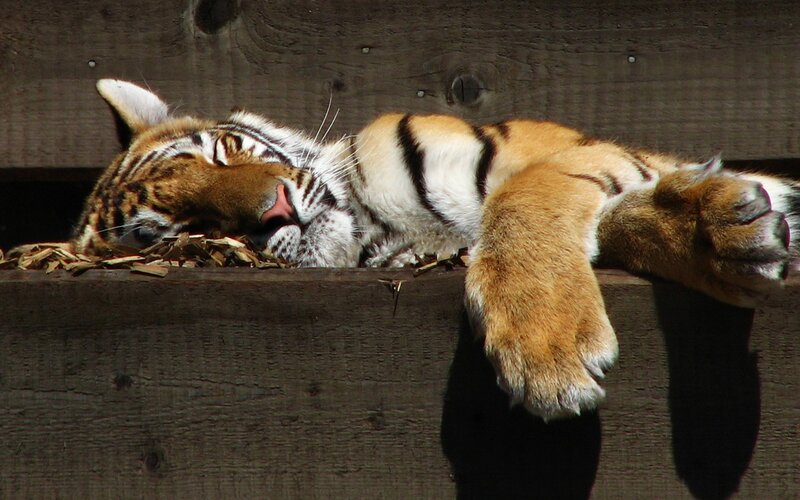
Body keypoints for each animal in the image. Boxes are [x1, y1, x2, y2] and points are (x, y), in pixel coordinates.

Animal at [74, 79, 800, 421]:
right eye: (187, 225)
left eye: (224, 151)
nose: (275, 208)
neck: (378, 225)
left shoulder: (574, 153)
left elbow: (523, 199)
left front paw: (547, 345)